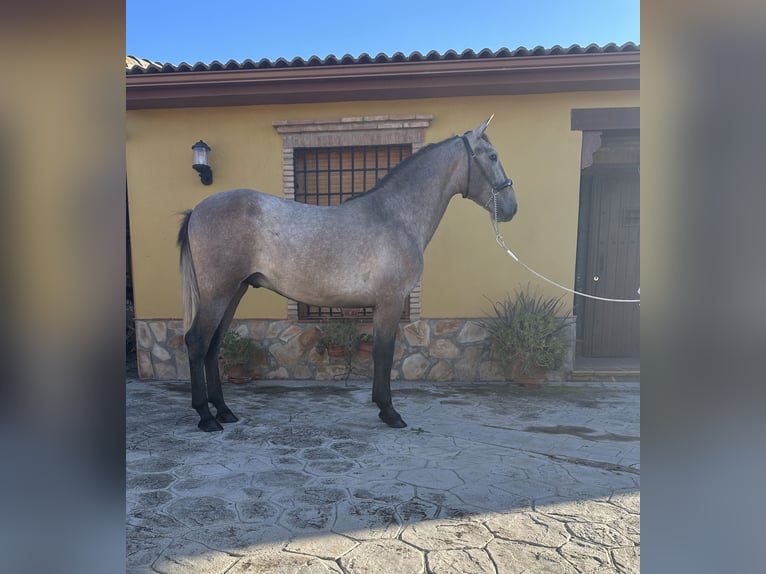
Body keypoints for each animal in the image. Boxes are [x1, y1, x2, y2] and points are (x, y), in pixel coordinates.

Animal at [177, 117, 520, 432]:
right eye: (492, 156)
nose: (511, 208)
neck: (396, 216)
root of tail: (197, 211)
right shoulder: (390, 301)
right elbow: (384, 353)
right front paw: (389, 412)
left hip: (235, 291)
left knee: (214, 345)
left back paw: (224, 411)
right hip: (219, 291)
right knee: (197, 341)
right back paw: (206, 417)